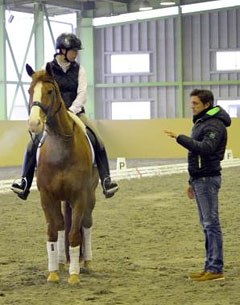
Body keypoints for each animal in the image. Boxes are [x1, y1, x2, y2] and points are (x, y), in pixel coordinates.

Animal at [25, 63, 98, 284]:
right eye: (30, 90)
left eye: (50, 91)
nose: (34, 124)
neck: (61, 149)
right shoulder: (47, 197)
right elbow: (52, 232)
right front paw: (53, 273)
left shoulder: (80, 196)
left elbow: (74, 234)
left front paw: (74, 275)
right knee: (60, 226)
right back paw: (60, 262)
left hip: (90, 196)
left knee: (86, 224)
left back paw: (86, 262)